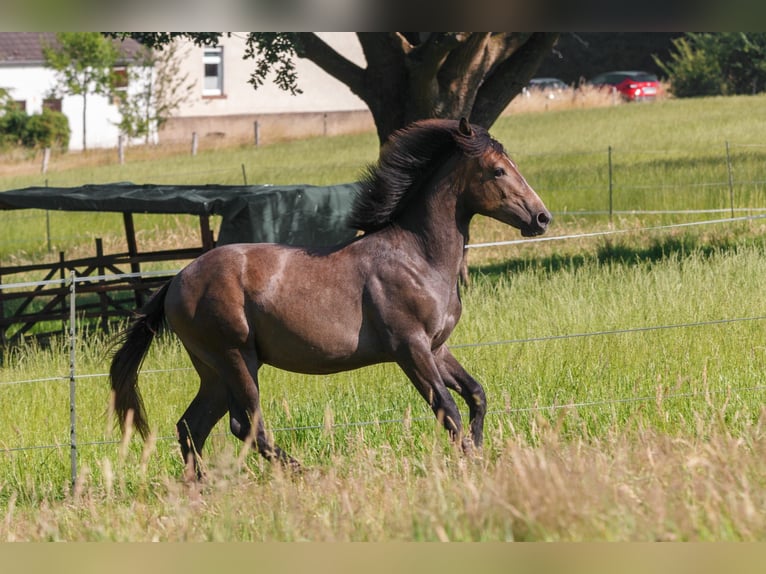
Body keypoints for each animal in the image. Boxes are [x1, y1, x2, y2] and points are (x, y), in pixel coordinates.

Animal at [109, 118, 551, 478]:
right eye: (498, 170)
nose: (542, 217)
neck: (418, 257)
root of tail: (177, 281)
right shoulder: (410, 349)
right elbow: (448, 409)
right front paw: (470, 462)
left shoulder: (437, 348)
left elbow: (476, 396)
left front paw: (478, 452)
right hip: (235, 359)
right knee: (246, 425)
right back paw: (304, 472)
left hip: (214, 371)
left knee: (192, 426)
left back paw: (201, 490)